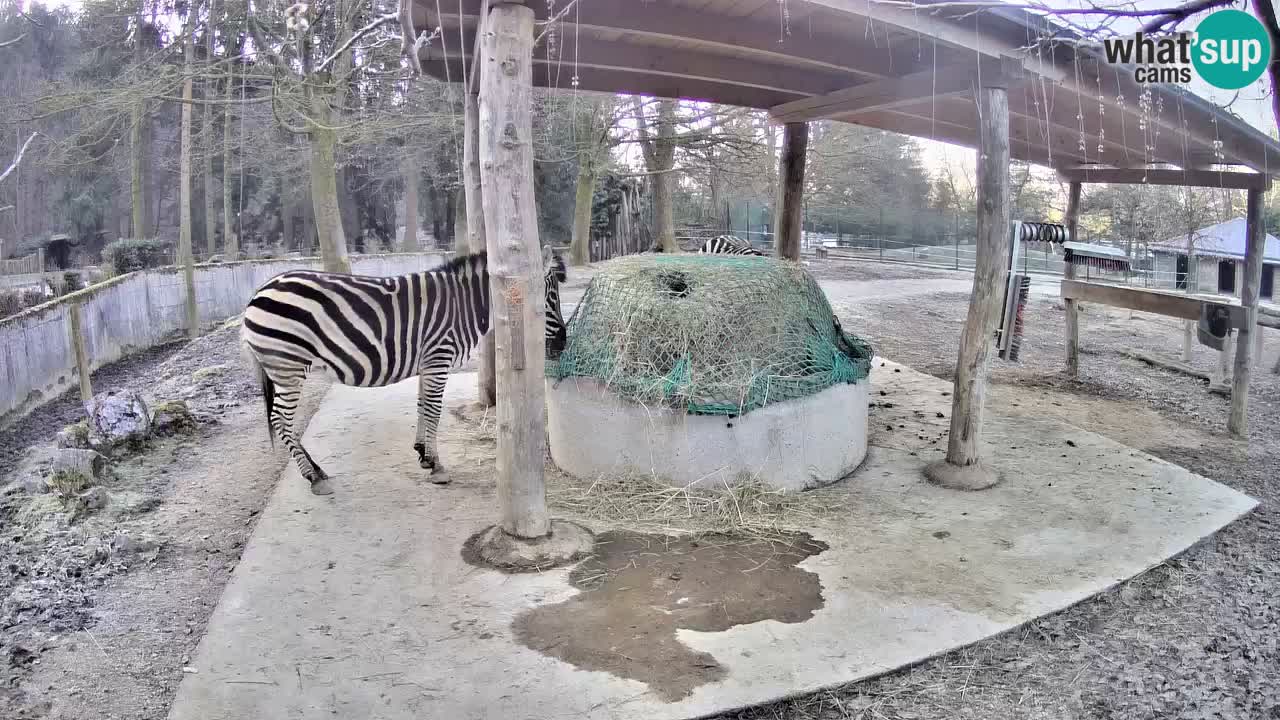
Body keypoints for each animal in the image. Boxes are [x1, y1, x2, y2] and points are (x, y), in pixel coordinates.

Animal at [240, 245, 570, 491]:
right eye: (550, 298)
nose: (563, 344)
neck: (465, 305)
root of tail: (258, 293)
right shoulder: (439, 357)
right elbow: (434, 410)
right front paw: (437, 466)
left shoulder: (428, 362)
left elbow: (423, 404)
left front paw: (423, 454)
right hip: (288, 366)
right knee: (281, 419)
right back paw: (312, 476)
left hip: (282, 368)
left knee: (282, 421)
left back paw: (317, 470)